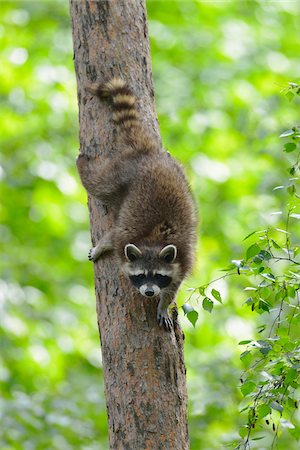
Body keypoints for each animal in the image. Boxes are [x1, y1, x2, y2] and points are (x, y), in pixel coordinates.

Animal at [77, 78, 197, 330]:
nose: (150, 293)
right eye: (141, 275)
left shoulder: (182, 259)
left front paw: (163, 304)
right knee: (98, 183)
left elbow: (175, 286)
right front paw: (102, 246)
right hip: (119, 173)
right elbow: (112, 236)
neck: (154, 241)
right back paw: (82, 166)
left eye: (158, 276)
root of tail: (147, 153)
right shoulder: (125, 235)